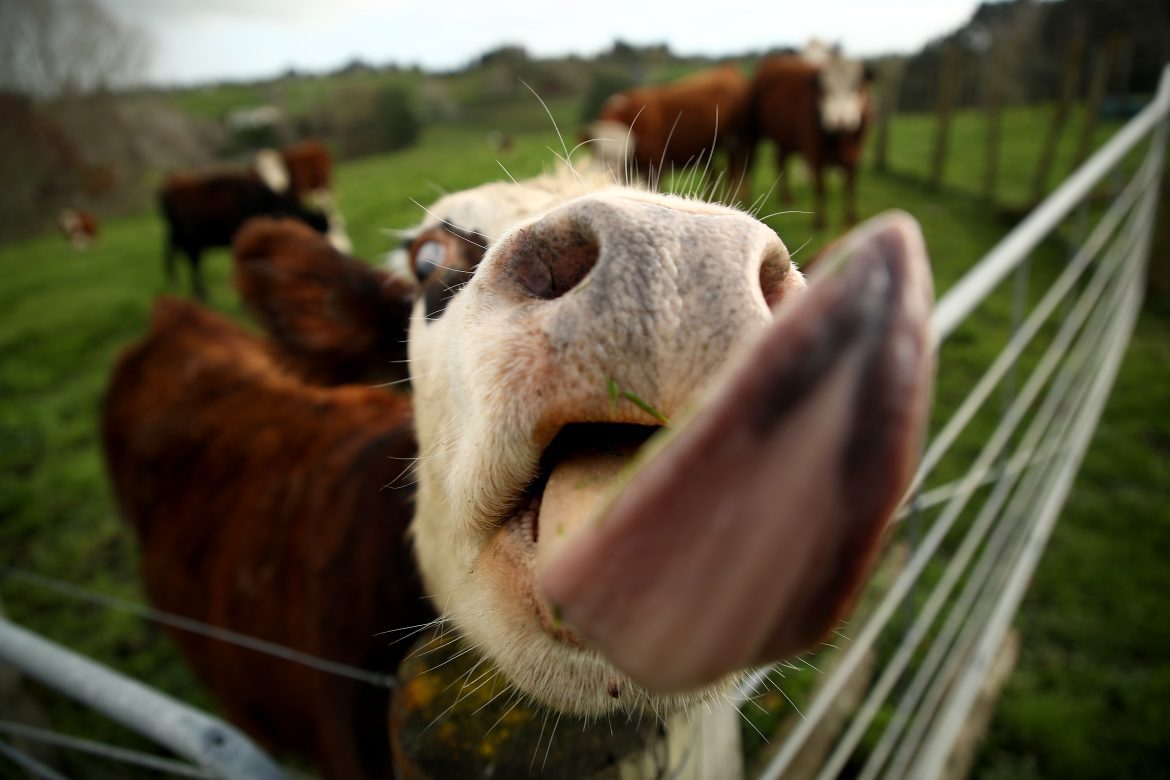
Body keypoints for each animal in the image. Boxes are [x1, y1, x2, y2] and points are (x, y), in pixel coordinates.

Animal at [585, 65, 758, 203]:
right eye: (599, 152)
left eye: (626, 150)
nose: (611, 174)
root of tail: (728, 69)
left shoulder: (656, 163)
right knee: (713, 174)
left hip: (738, 142)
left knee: (737, 172)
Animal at [753, 43, 875, 229]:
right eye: (825, 89)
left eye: (856, 86)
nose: (840, 120)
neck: (840, 138)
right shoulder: (816, 153)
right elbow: (820, 186)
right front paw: (820, 222)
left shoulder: (855, 153)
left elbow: (851, 185)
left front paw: (851, 219)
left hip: (784, 140)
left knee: (780, 160)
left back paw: (786, 197)